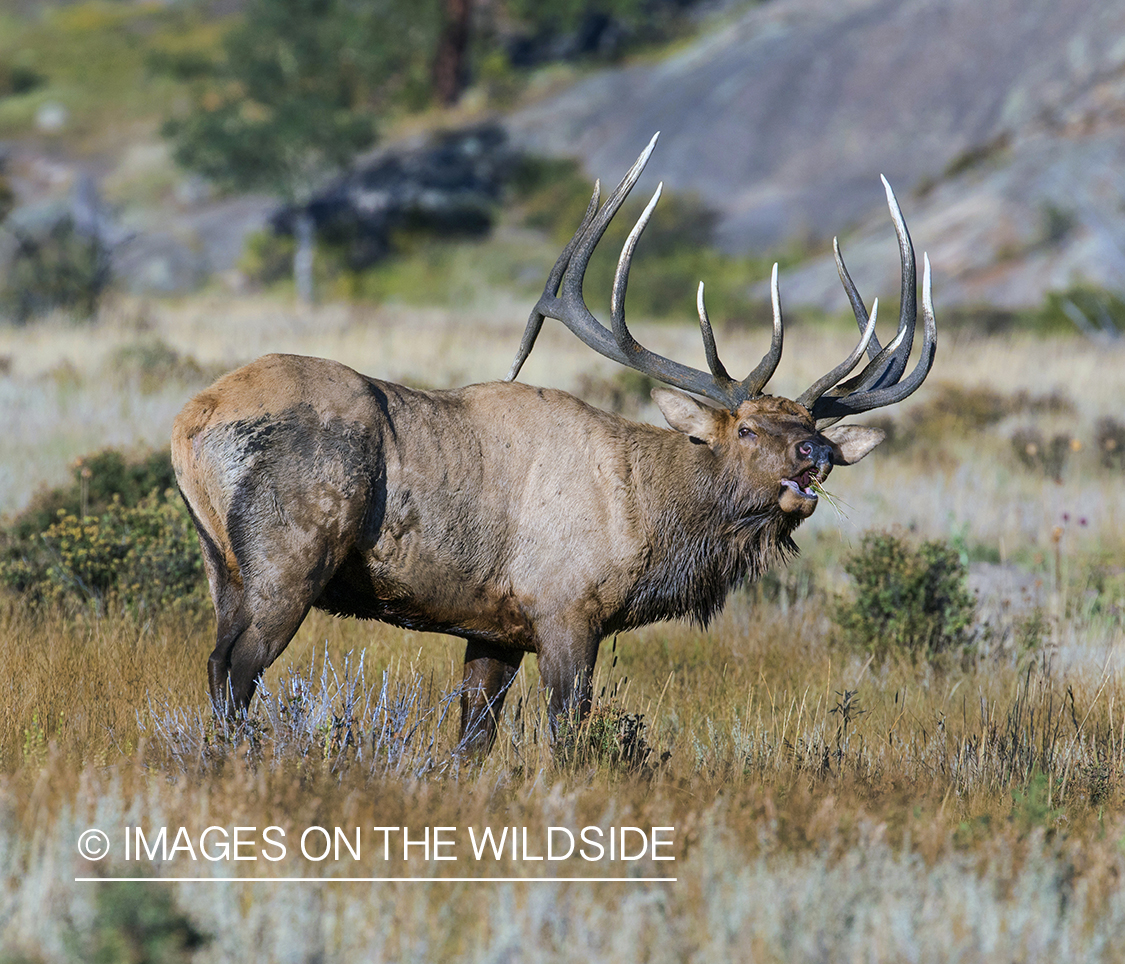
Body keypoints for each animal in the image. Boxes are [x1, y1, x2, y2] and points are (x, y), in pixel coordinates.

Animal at [171, 135, 936, 751]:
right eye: (746, 428)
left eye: (814, 432)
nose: (818, 457)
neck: (647, 520)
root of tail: (189, 421)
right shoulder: (567, 609)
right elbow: (569, 734)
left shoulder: (492, 628)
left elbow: (473, 740)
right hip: (290, 556)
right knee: (232, 669)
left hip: (221, 564)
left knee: (217, 663)